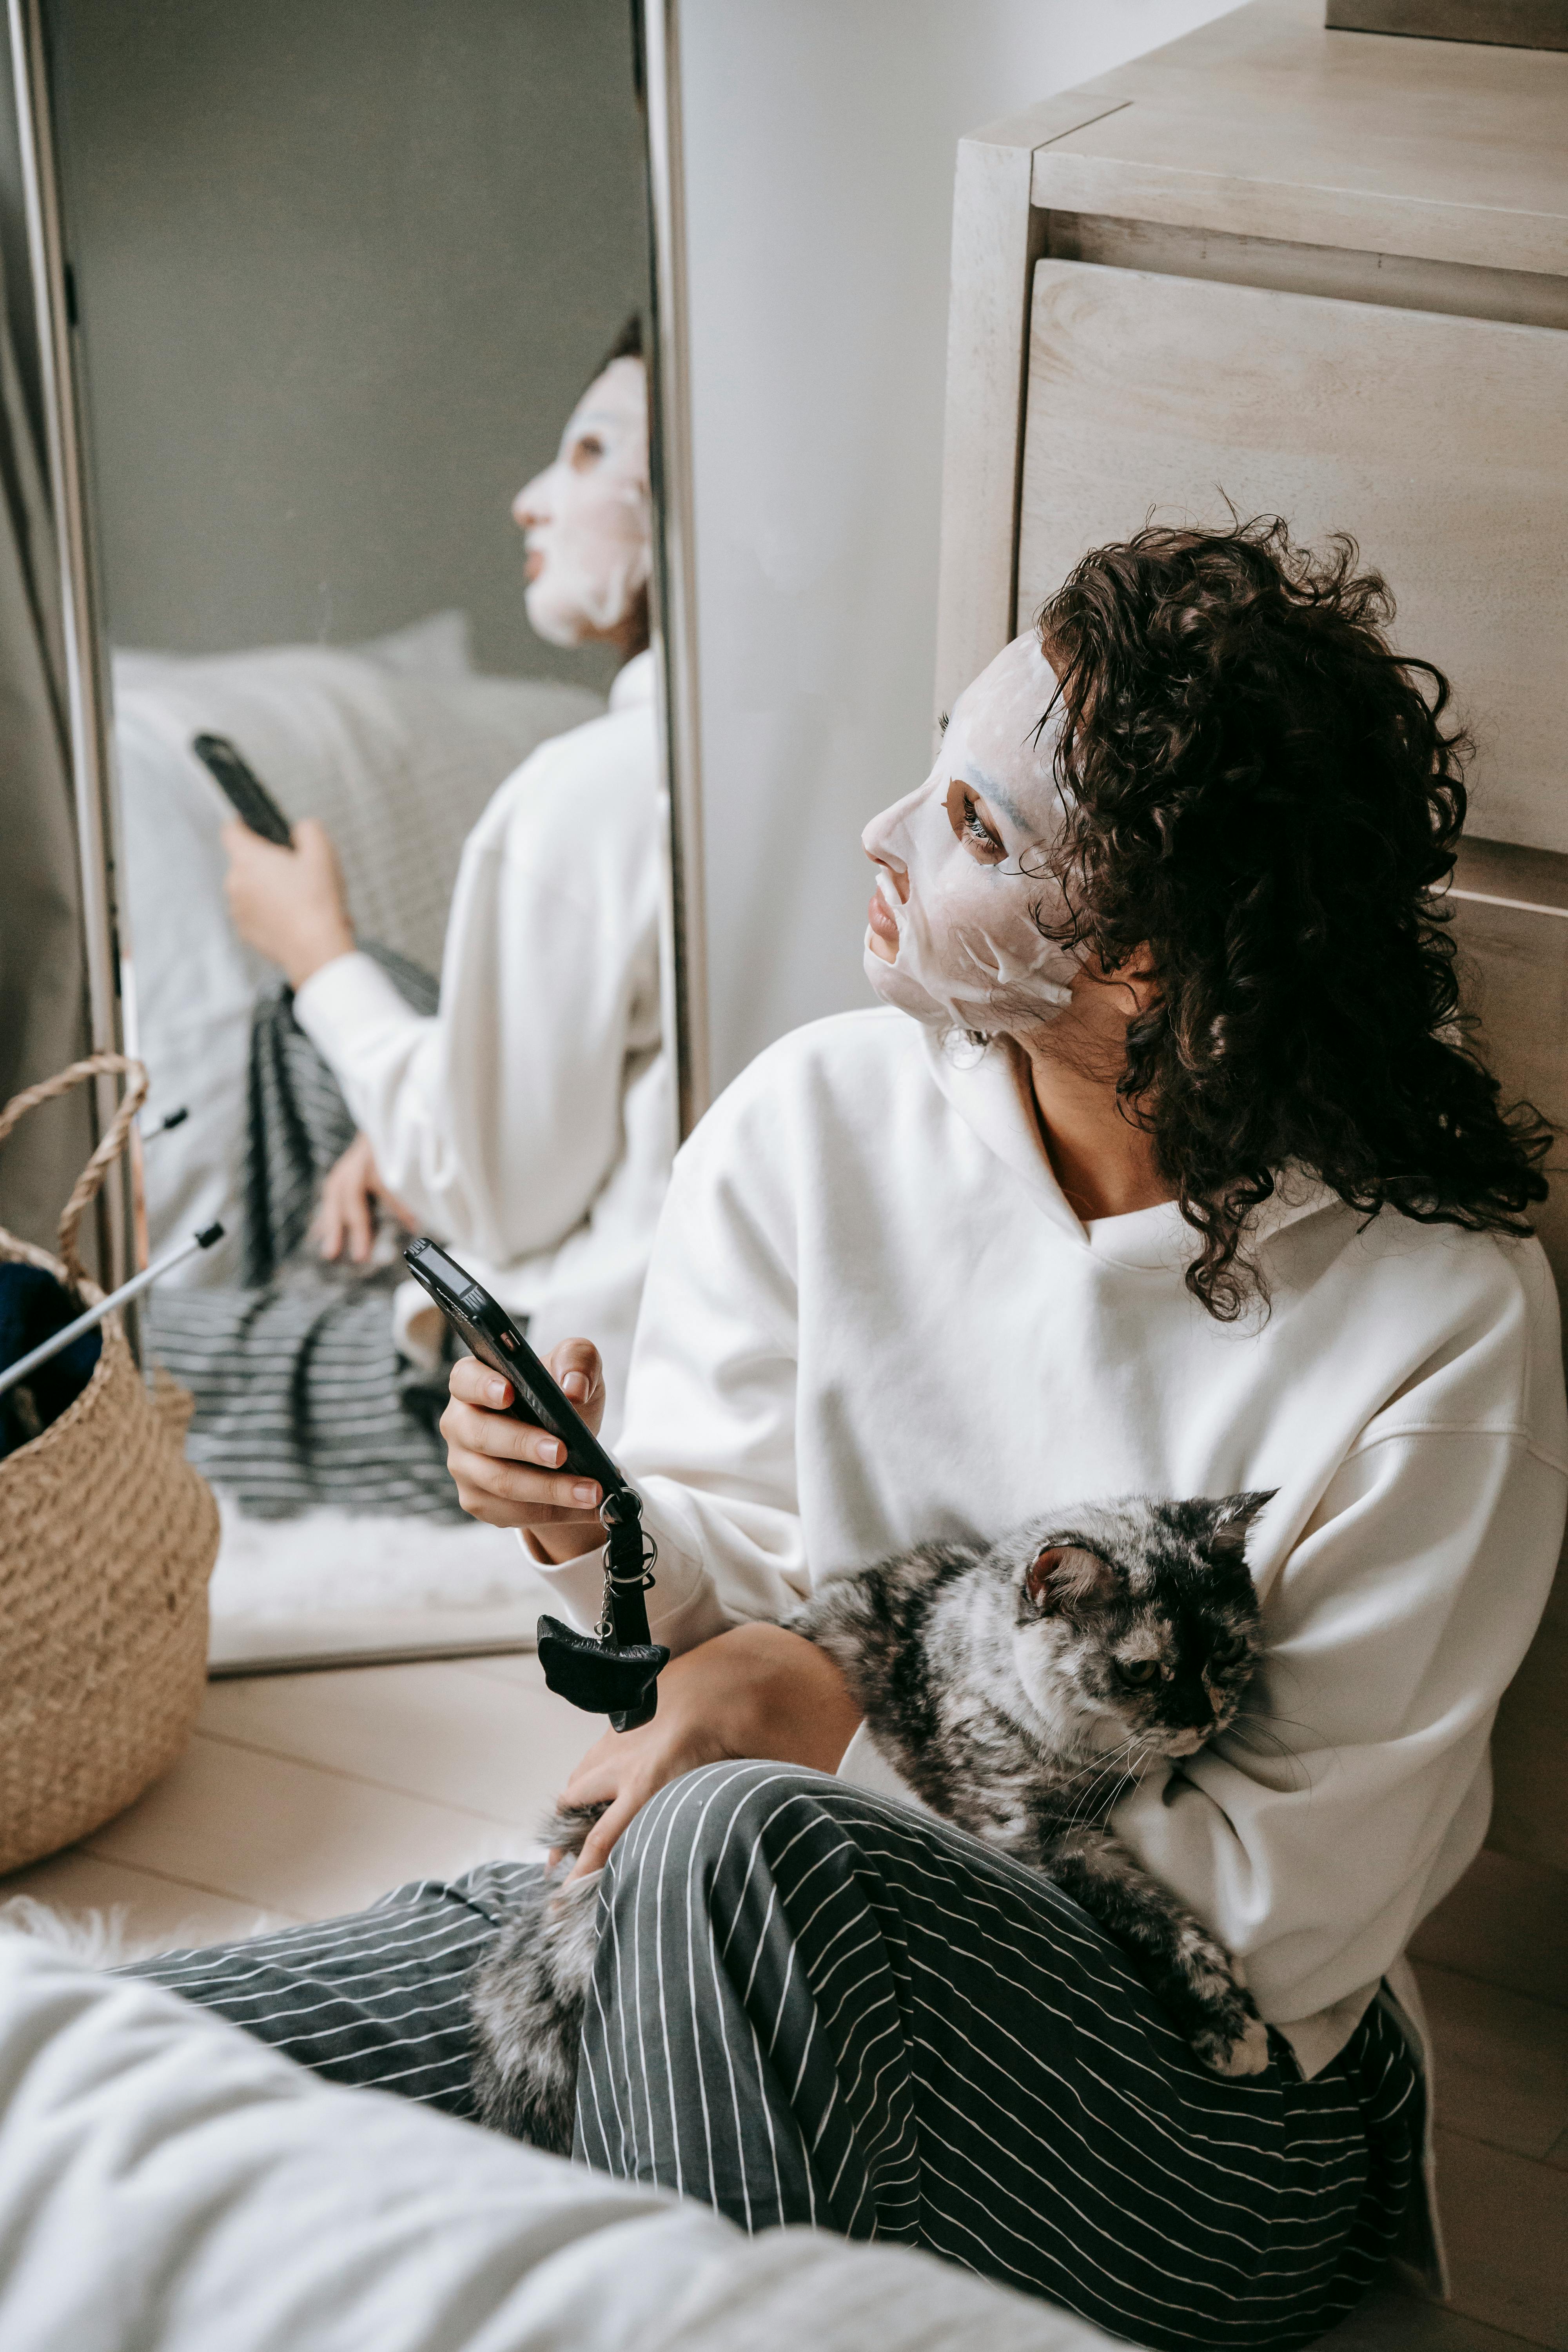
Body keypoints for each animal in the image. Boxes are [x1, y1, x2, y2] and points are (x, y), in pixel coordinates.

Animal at [465, 1486, 1279, 2154]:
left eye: (1228, 1653)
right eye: (1142, 1670)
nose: (1203, 1720)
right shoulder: (1030, 1828)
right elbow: (1152, 1912)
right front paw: (1230, 2025)